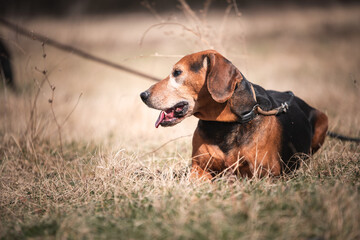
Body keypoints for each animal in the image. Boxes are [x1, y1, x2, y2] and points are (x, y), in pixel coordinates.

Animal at [140, 49, 330, 179]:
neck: (224, 124)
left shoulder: (267, 173)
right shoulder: (198, 167)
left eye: (177, 72)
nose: (143, 95)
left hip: (323, 119)